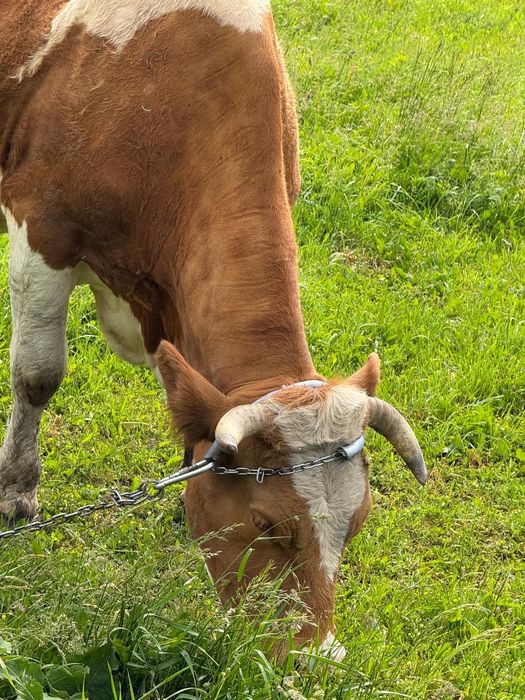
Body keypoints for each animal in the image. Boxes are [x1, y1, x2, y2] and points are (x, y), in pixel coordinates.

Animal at [0, 0, 426, 658]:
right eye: (266, 523)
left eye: (356, 523)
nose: (314, 659)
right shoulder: (41, 228)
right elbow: (37, 374)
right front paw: (17, 492)